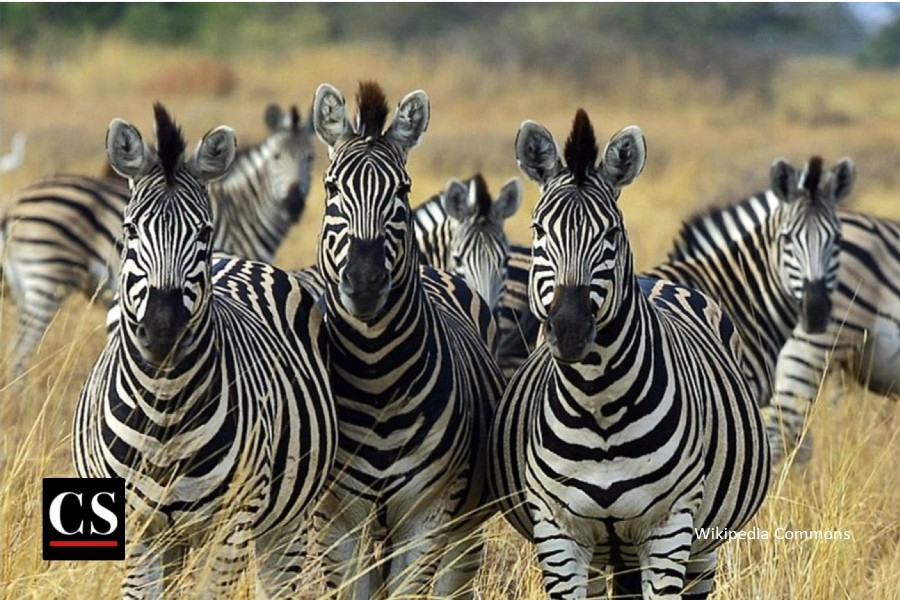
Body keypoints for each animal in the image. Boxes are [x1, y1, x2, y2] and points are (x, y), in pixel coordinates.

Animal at [0, 103, 314, 379]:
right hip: (47, 277)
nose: (295, 204)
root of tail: (13, 202)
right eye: (276, 157)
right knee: (19, 352)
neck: (241, 213)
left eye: (310, 158)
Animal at [72, 104, 337, 598]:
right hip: (175, 539)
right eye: (130, 229)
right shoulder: (137, 528)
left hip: (285, 521)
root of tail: (237, 260)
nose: (163, 330)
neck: (164, 411)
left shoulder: (231, 524)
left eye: (204, 230)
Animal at [308, 81, 505, 599]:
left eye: (403, 190)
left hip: (463, 526)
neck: (375, 376)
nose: (364, 281)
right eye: (331, 188)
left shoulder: (426, 516)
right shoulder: (338, 522)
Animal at [488, 110, 770, 599]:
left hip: (701, 545)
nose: (570, 329)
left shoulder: (669, 529)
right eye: (538, 230)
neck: (597, 400)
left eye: (612, 233)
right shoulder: (559, 533)